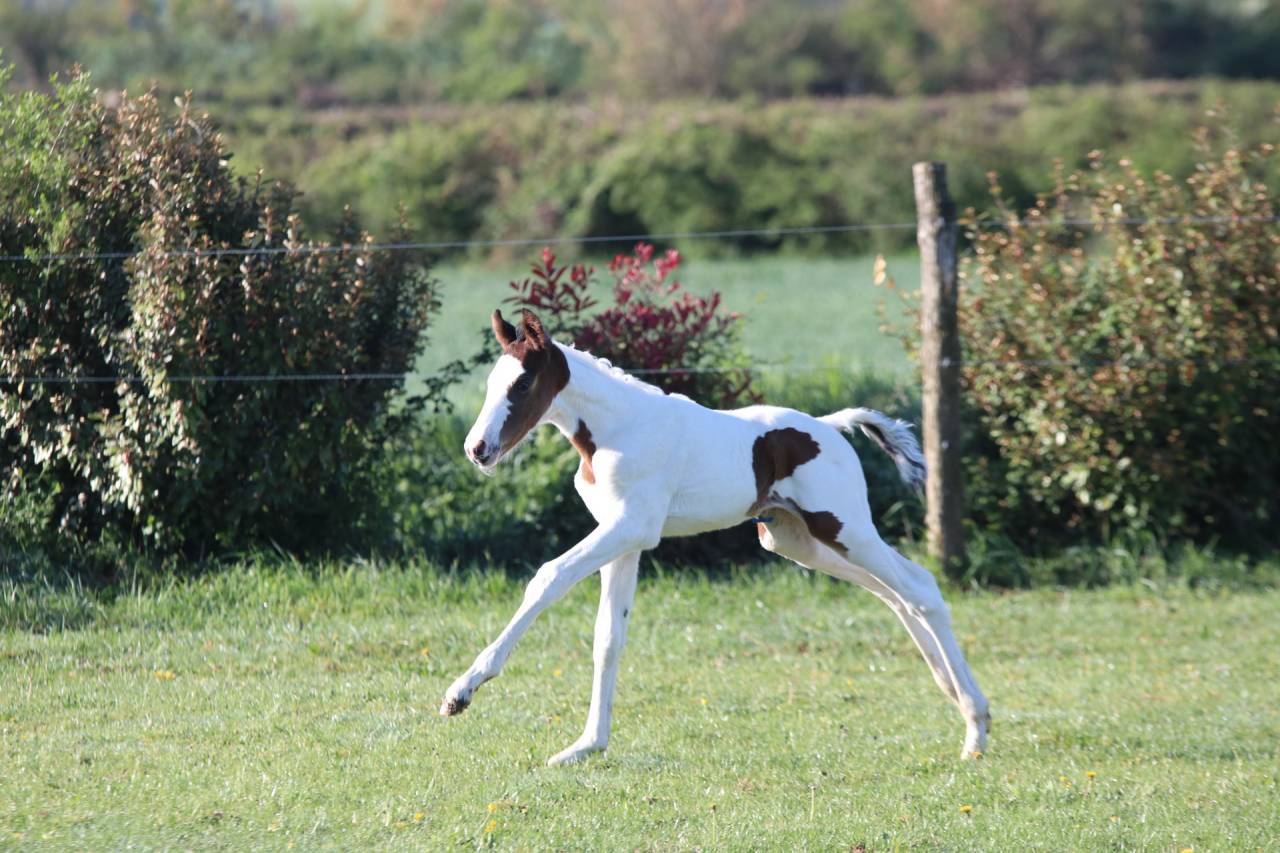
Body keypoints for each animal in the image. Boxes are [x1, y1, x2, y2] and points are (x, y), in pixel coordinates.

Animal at [440, 308, 990, 766]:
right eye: (491, 383)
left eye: (523, 383)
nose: (477, 449)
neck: (619, 429)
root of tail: (830, 428)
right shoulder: (624, 539)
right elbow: (608, 638)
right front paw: (586, 746)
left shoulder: (629, 528)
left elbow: (547, 578)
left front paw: (461, 692)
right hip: (797, 541)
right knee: (894, 596)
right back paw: (957, 700)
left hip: (844, 526)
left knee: (919, 587)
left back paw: (976, 728)